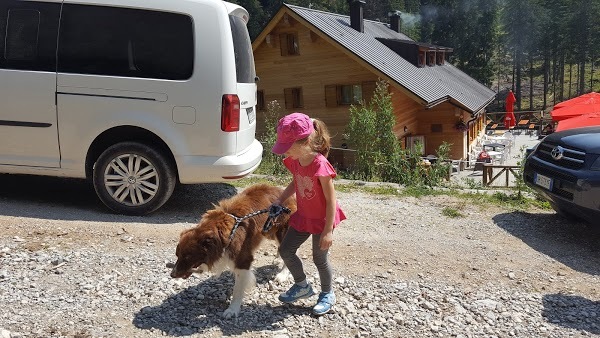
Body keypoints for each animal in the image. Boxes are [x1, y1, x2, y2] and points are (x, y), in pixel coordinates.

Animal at [170, 184, 294, 318]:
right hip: (269, 230)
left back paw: (283, 274)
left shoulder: (243, 260)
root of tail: (281, 190)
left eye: (188, 257)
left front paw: (232, 309)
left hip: (281, 231)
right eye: (177, 255)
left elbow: (238, 289)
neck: (220, 234)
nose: (172, 275)